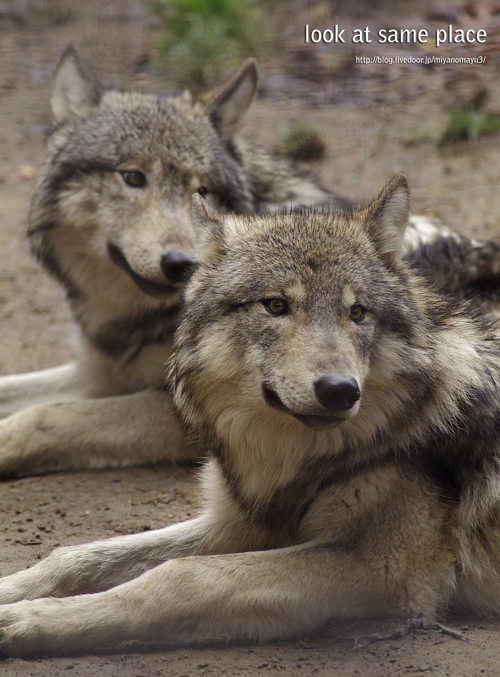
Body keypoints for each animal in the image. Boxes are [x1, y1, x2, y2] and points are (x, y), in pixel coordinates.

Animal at [0, 45, 500, 478]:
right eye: (133, 177)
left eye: (201, 190)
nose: (181, 263)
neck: (134, 321)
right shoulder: (98, 371)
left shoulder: (180, 405)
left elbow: (44, 417)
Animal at [0, 176, 500, 656]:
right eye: (275, 305)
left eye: (357, 313)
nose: (340, 391)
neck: (296, 457)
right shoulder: (239, 522)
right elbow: (74, 556)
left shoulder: (382, 569)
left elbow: (179, 577)